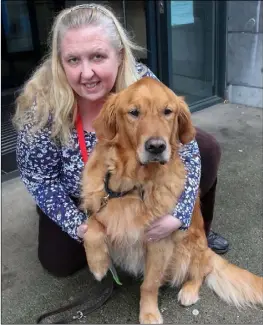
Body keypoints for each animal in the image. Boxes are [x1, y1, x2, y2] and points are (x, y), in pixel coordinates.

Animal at [81, 77, 262, 322]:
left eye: (167, 111)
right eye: (134, 112)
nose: (156, 146)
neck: (135, 184)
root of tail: (207, 249)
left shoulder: (160, 240)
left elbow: (149, 284)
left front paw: (148, 313)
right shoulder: (101, 206)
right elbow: (92, 227)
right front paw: (98, 264)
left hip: (188, 248)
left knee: (201, 272)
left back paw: (189, 291)